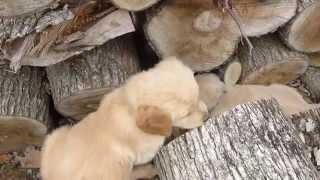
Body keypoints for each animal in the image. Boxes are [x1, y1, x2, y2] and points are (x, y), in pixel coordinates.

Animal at [40, 57, 209, 180]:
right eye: (186, 114)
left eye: (198, 95)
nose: (207, 117)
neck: (128, 107)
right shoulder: (146, 150)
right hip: (117, 166)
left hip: (55, 135)